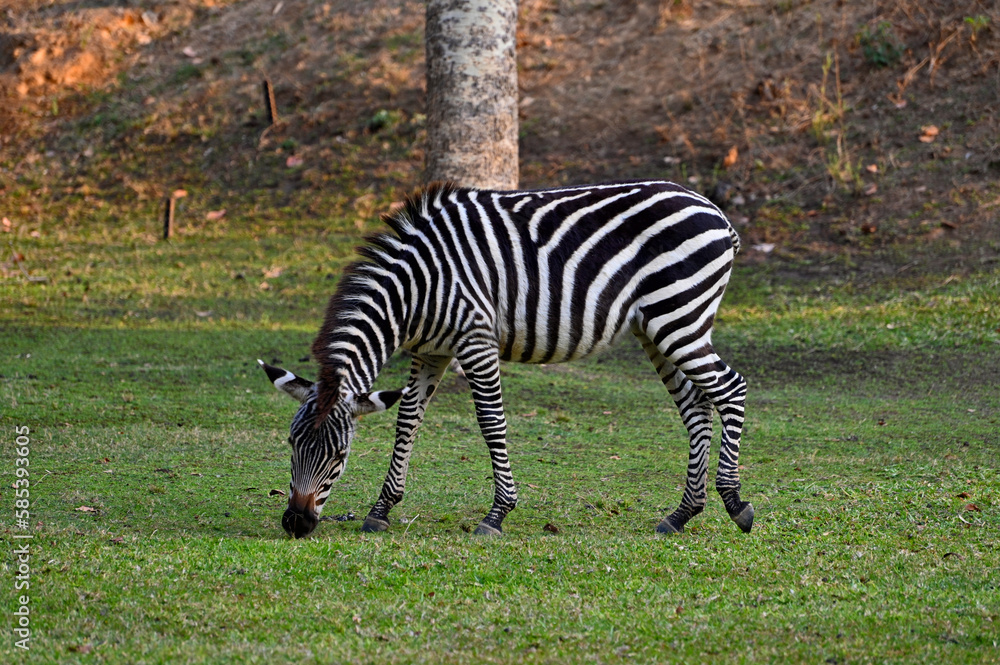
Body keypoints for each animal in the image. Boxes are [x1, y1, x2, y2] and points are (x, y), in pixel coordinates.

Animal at [260, 180, 753, 539]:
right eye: (290, 444)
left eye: (340, 455)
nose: (296, 523)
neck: (417, 289)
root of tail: (716, 213)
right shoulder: (430, 352)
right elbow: (408, 420)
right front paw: (382, 508)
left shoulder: (475, 340)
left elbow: (490, 422)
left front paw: (497, 514)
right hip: (657, 327)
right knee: (696, 406)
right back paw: (682, 513)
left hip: (679, 317)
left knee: (731, 389)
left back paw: (734, 503)